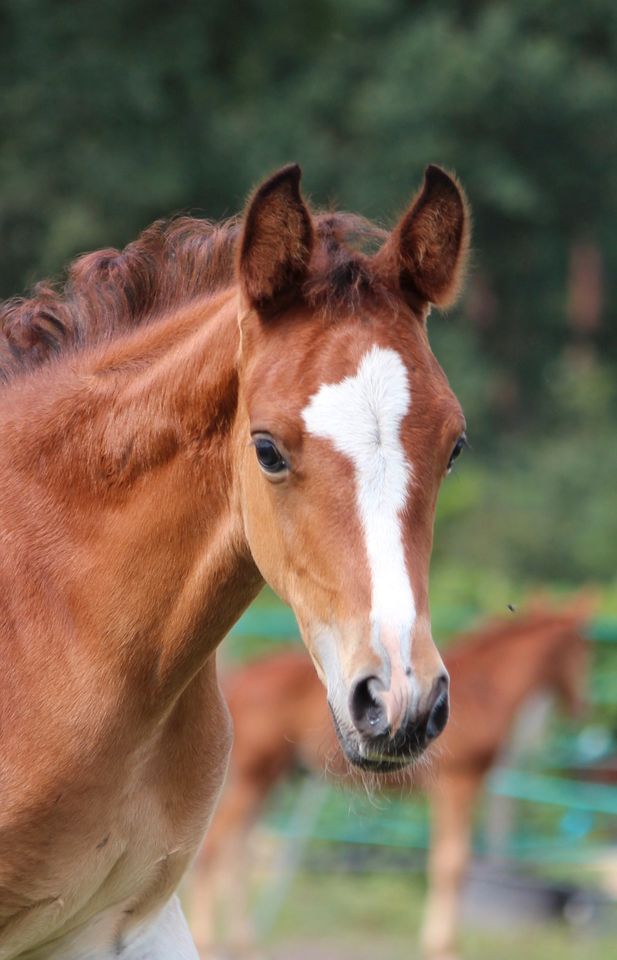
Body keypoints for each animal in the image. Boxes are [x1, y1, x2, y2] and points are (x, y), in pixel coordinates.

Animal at [189, 600, 592, 960]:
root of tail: (240, 680)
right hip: (252, 777)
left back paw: (245, 942)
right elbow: (451, 864)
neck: (484, 689)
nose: (580, 706)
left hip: (270, 779)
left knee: (237, 849)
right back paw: (208, 941)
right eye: (579, 648)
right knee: (215, 846)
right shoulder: (457, 784)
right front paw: (444, 947)